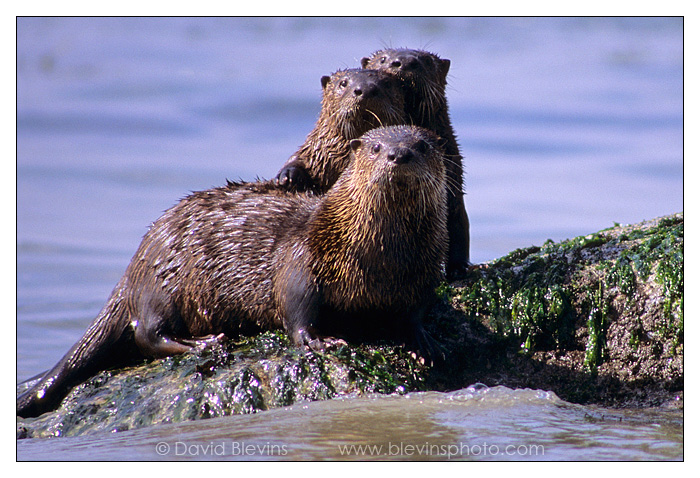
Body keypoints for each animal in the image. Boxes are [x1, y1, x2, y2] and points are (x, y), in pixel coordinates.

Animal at [16, 126, 448, 418]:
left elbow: (415, 312)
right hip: (165, 281)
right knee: (147, 333)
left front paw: (425, 342)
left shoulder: (425, 272)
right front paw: (320, 342)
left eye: (422, 146)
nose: (398, 155)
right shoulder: (303, 260)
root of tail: (135, 263)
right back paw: (205, 344)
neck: (381, 259)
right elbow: (296, 309)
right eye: (375, 147)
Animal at [274, 67, 404, 194]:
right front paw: (287, 175)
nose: (366, 89)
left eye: (387, 83)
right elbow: (299, 159)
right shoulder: (315, 153)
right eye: (343, 83)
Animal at [360, 47, 470, 278]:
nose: (403, 61)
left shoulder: (453, 178)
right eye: (382, 59)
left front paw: (458, 269)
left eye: (426, 61)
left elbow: (458, 225)